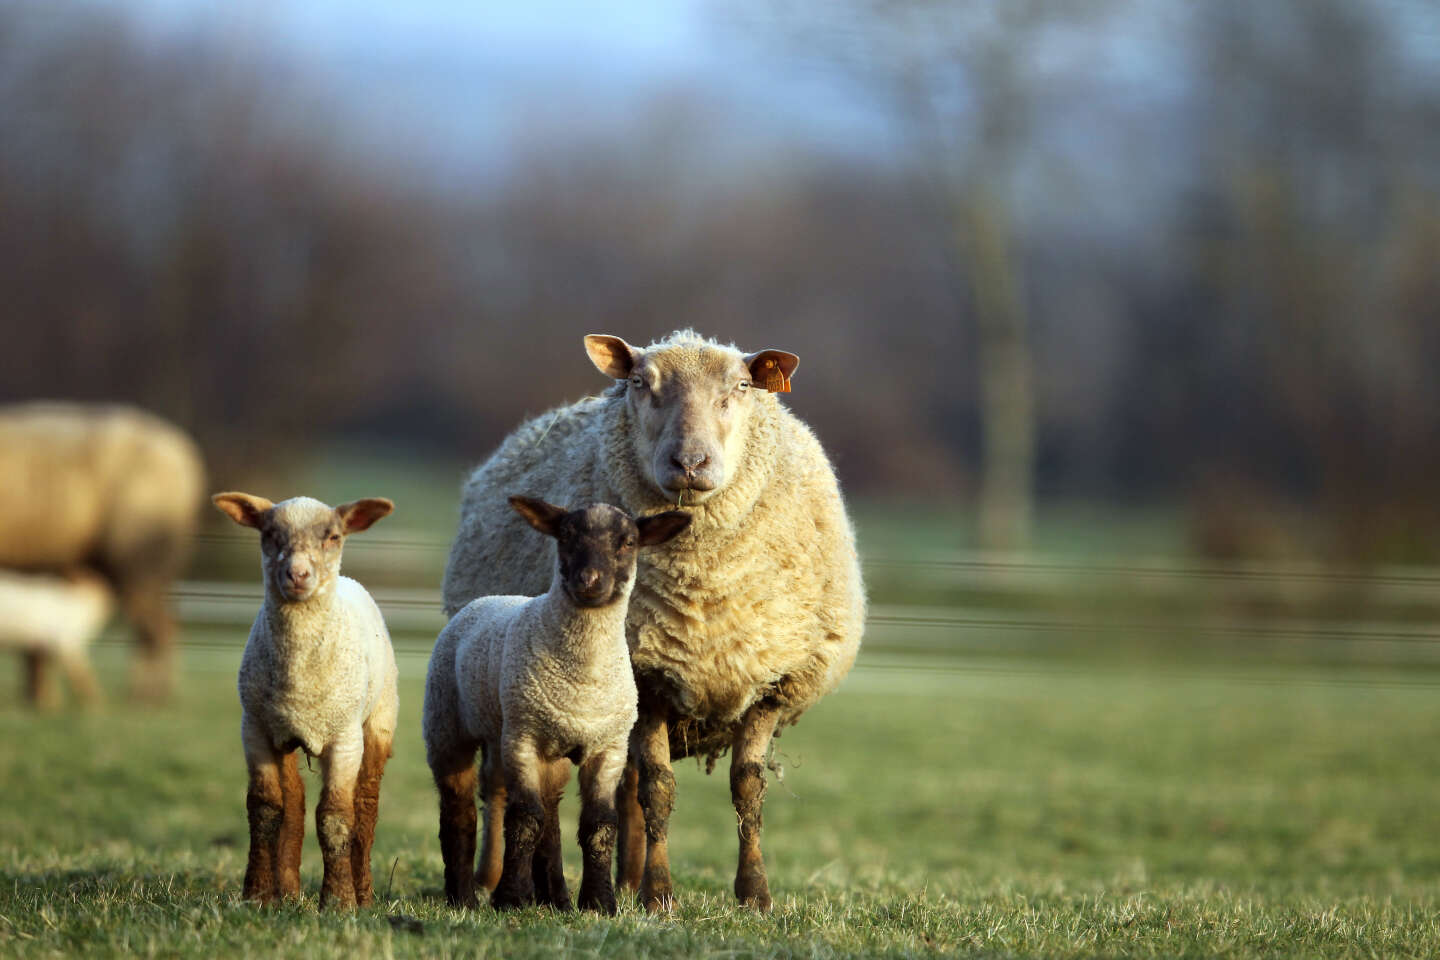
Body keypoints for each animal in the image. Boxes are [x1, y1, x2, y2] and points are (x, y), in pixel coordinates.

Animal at [210, 492, 400, 915]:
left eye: (333, 536)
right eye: (269, 534)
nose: (297, 575)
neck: (298, 680)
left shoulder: (344, 739)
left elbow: (336, 817)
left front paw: (339, 901)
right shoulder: (256, 730)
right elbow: (265, 809)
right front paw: (257, 894)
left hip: (378, 721)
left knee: (367, 806)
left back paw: (364, 895)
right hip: (285, 734)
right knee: (294, 803)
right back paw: (287, 891)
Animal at [420, 495, 691, 915]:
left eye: (628, 541)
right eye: (565, 536)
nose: (589, 581)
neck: (583, 678)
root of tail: (487, 598)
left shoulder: (608, 747)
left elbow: (599, 823)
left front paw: (599, 902)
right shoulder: (523, 738)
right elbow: (524, 818)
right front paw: (511, 898)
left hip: (552, 749)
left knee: (550, 813)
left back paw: (556, 897)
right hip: (447, 725)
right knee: (459, 811)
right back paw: (462, 897)